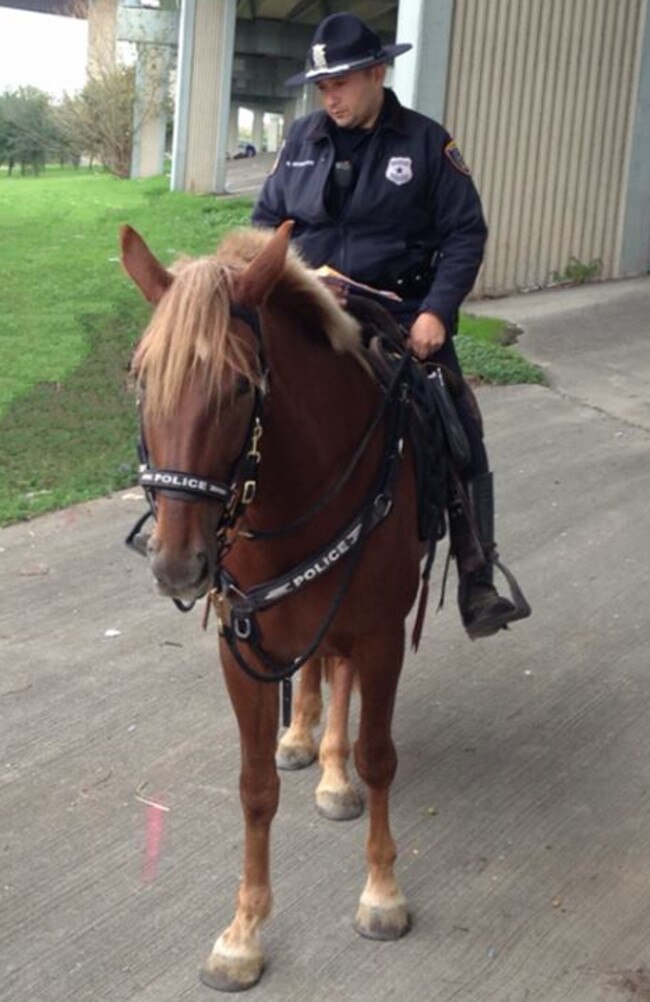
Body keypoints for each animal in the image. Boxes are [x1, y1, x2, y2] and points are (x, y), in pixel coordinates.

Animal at [120, 221, 426, 993]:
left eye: (237, 386)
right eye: (141, 377)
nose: (176, 564)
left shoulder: (381, 634)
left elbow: (380, 756)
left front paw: (382, 891)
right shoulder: (241, 645)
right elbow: (254, 787)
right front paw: (243, 932)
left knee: (340, 679)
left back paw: (335, 771)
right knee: (316, 670)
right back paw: (304, 739)